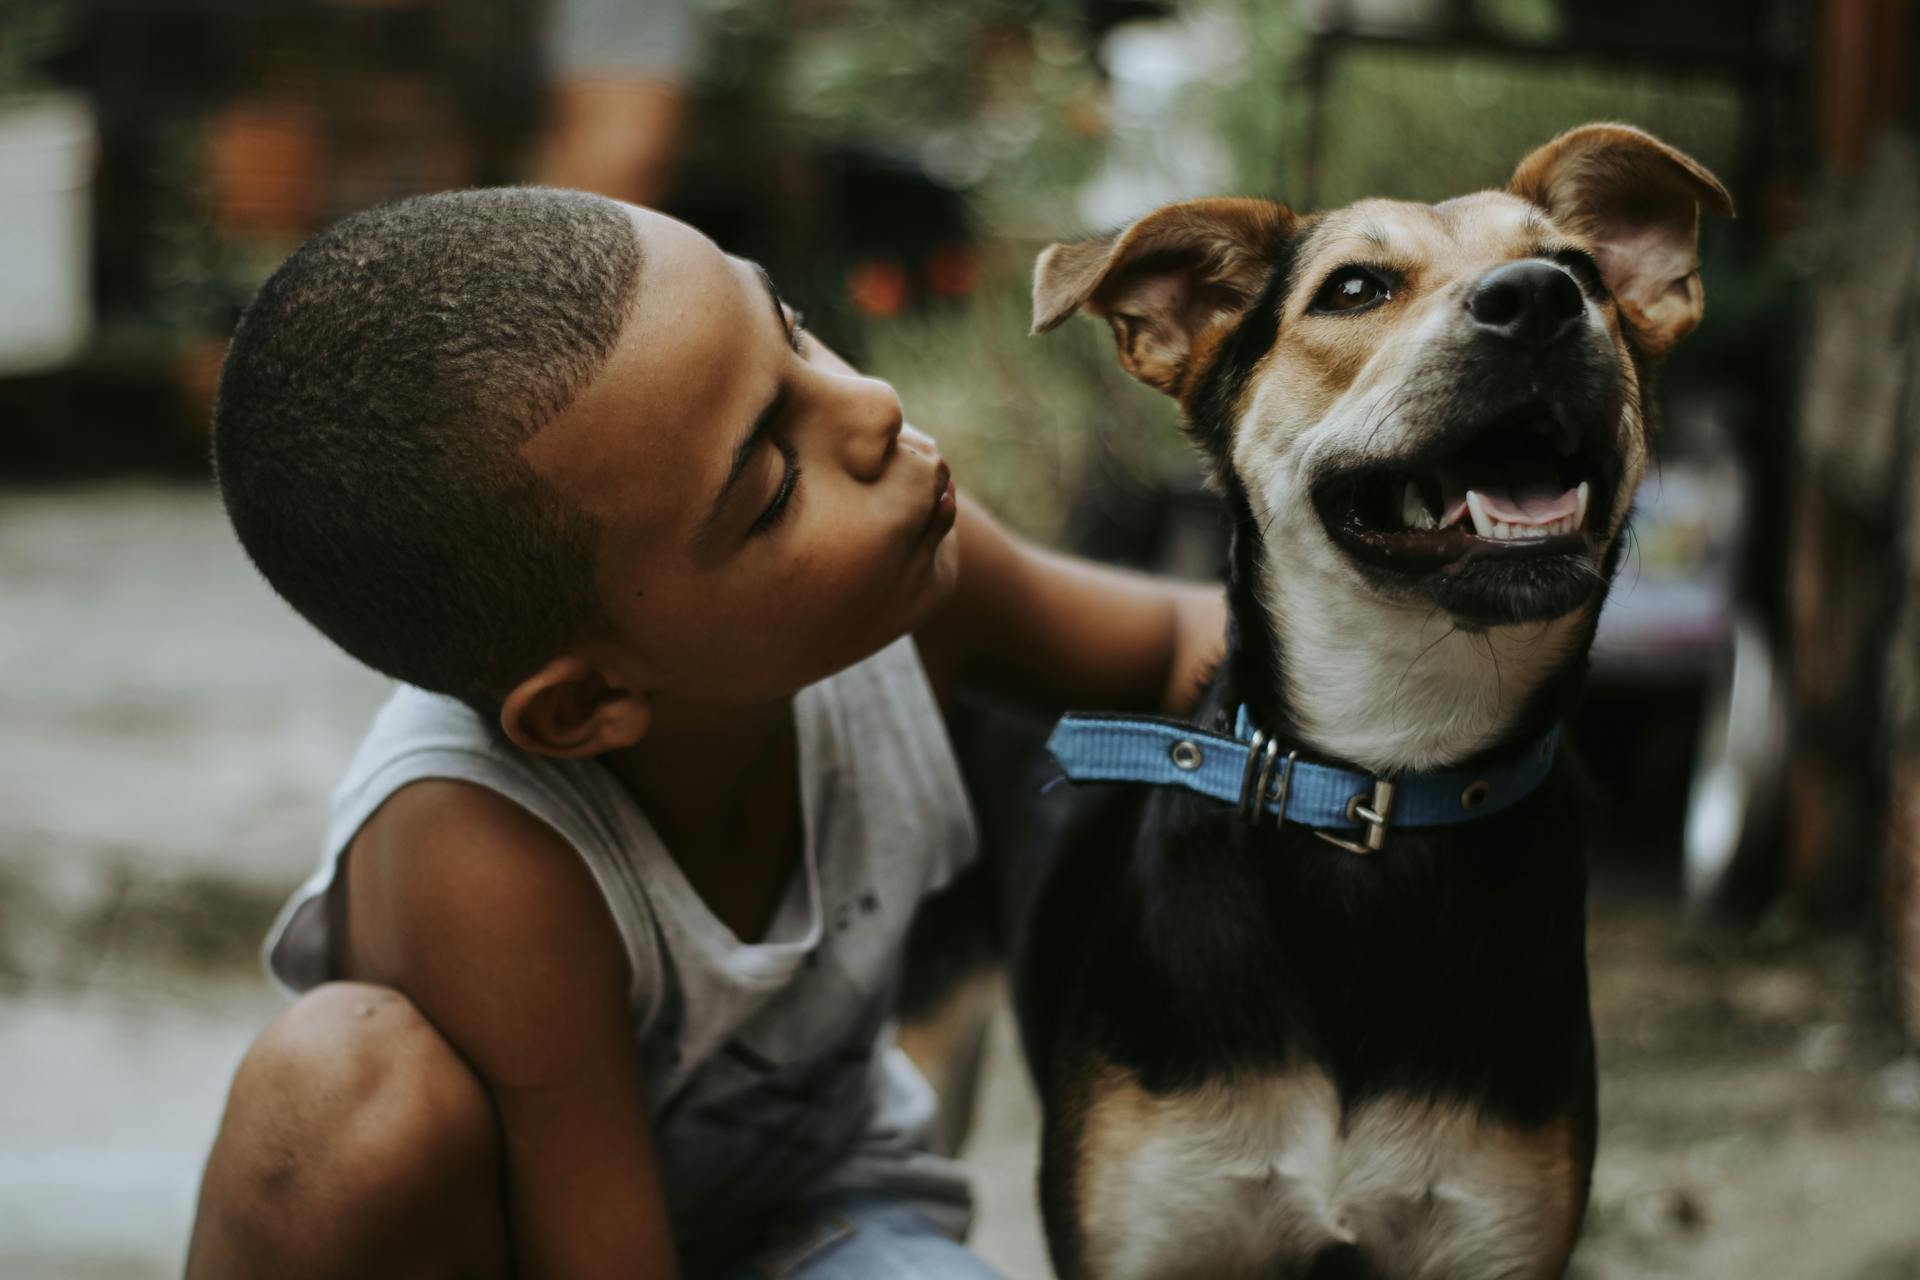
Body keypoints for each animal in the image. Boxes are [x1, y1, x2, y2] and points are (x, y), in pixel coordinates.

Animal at [990, 122, 1743, 1280]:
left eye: (1578, 268)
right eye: (1354, 288)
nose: (1540, 298)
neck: (1385, 769)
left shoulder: (1494, 1233)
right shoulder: (1149, 1233)